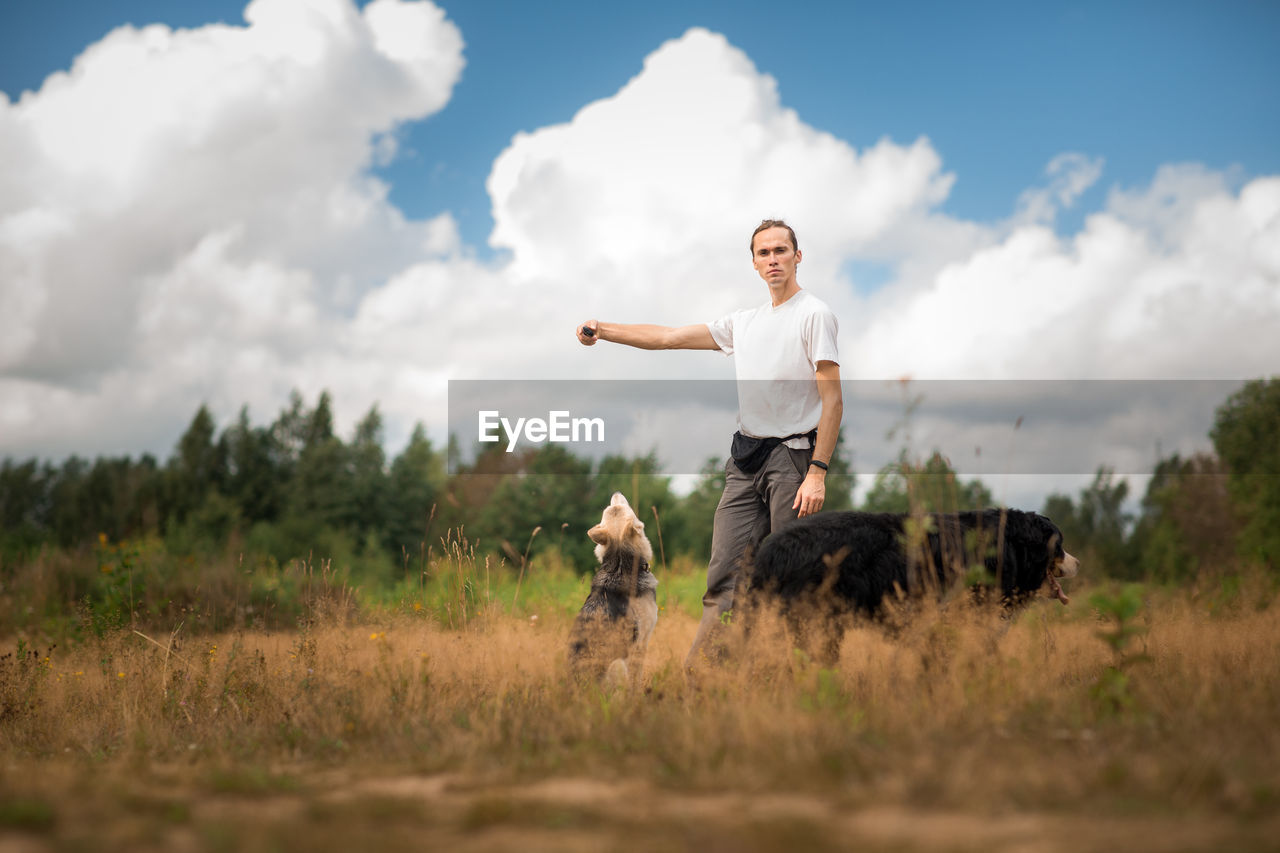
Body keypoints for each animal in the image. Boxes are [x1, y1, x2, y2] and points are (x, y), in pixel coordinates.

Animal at [568, 491, 660, 686]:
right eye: (613, 507)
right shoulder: (641, 643)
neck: (620, 564)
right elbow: (636, 679)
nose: (615, 492)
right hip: (617, 665)